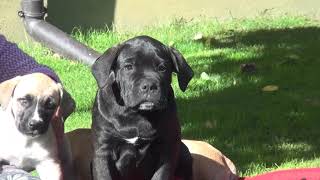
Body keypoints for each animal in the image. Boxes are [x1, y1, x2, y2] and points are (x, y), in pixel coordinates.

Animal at [91, 35, 194, 180]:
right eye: (128, 67)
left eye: (162, 68)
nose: (149, 85)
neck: (137, 114)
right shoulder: (103, 150)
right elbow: (104, 175)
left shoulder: (168, 149)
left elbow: (160, 175)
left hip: (184, 153)